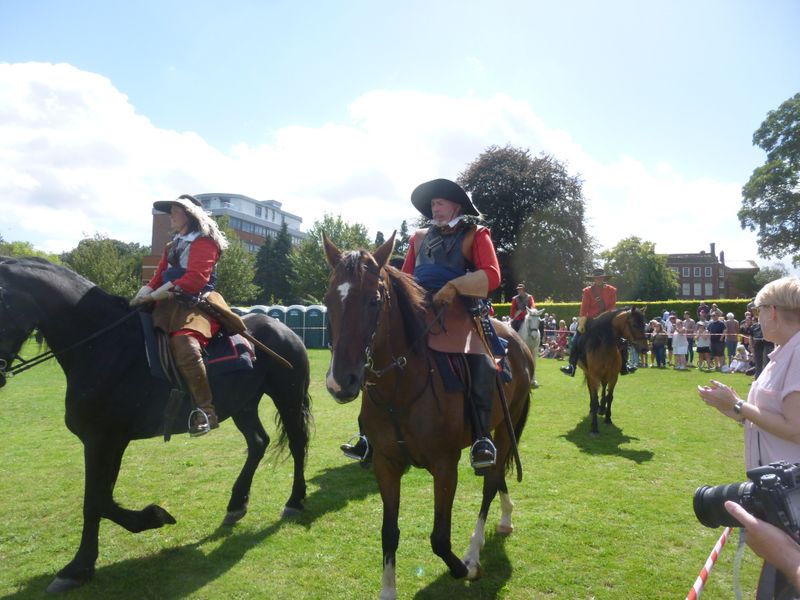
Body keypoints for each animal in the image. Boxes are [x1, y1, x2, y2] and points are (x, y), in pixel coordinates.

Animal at [0, 255, 310, 592]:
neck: (106, 346)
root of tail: (285, 328)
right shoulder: (107, 443)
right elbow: (102, 498)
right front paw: (150, 519)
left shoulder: (104, 440)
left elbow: (94, 501)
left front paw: (78, 567)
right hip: (243, 405)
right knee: (258, 442)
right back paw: (236, 505)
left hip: (288, 398)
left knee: (297, 444)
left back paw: (294, 501)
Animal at [322, 233, 536, 600]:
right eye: (327, 300)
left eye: (374, 301)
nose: (341, 382)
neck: (401, 388)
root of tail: (517, 343)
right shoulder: (386, 465)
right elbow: (388, 532)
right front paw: (388, 591)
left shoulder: (444, 466)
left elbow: (439, 538)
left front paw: (466, 568)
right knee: (496, 474)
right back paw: (505, 518)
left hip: (504, 427)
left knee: (491, 481)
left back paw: (475, 550)